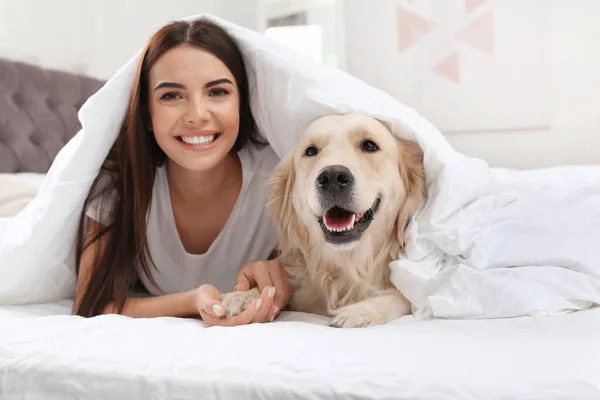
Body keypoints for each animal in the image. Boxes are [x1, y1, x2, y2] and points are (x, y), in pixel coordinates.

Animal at [221, 112, 426, 328]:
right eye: (311, 151)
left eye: (370, 145)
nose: (333, 176)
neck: (347, 265)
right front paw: (244, 296)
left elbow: (406, 296)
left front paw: (362, 312)